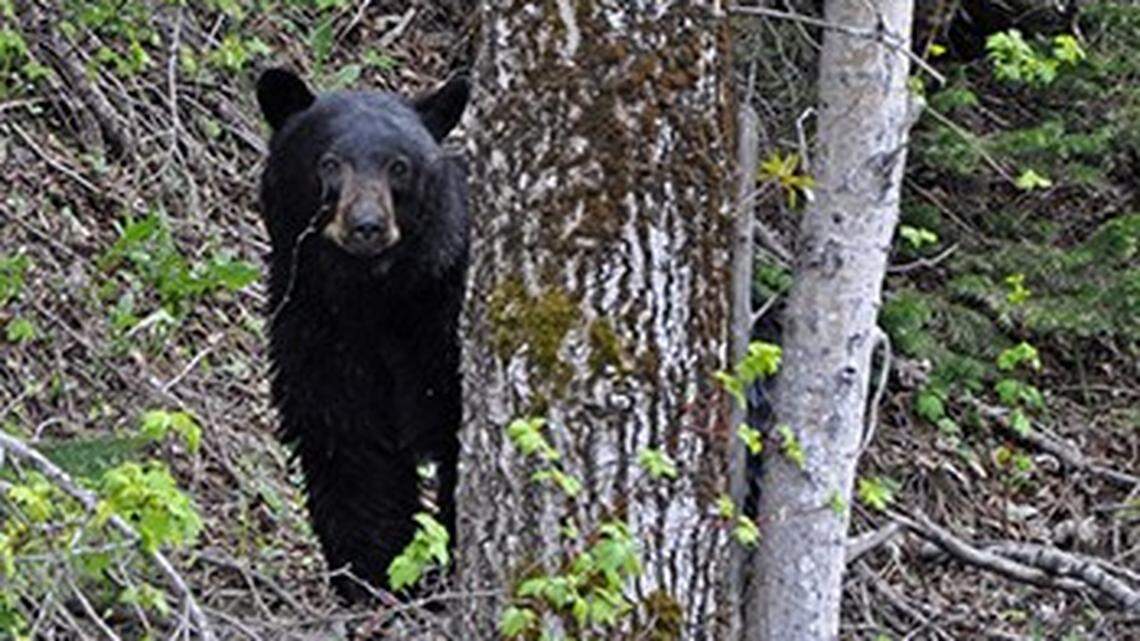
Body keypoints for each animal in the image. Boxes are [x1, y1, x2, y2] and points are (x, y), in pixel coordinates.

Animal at [254, 68, 469, 601]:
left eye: (399, 167)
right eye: (329, 162)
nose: (367, 225)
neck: (376, 295)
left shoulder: (443, 322)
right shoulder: (316, 324)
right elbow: (351, 444)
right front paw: (376, 578)